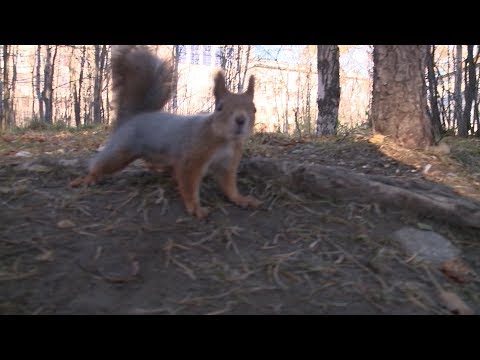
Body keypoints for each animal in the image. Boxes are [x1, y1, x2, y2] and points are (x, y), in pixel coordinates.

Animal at [69, 46, 260, 218]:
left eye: (254, 109)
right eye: (220, 108)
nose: (241, 120)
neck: (224, 140)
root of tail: (135, 116)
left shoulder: (228, 163)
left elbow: (228, 185)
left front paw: (241, 199)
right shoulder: (191, 158)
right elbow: (188, 183)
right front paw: (195, 208)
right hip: (120, 150)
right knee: (102, 164)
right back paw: (88, 178)